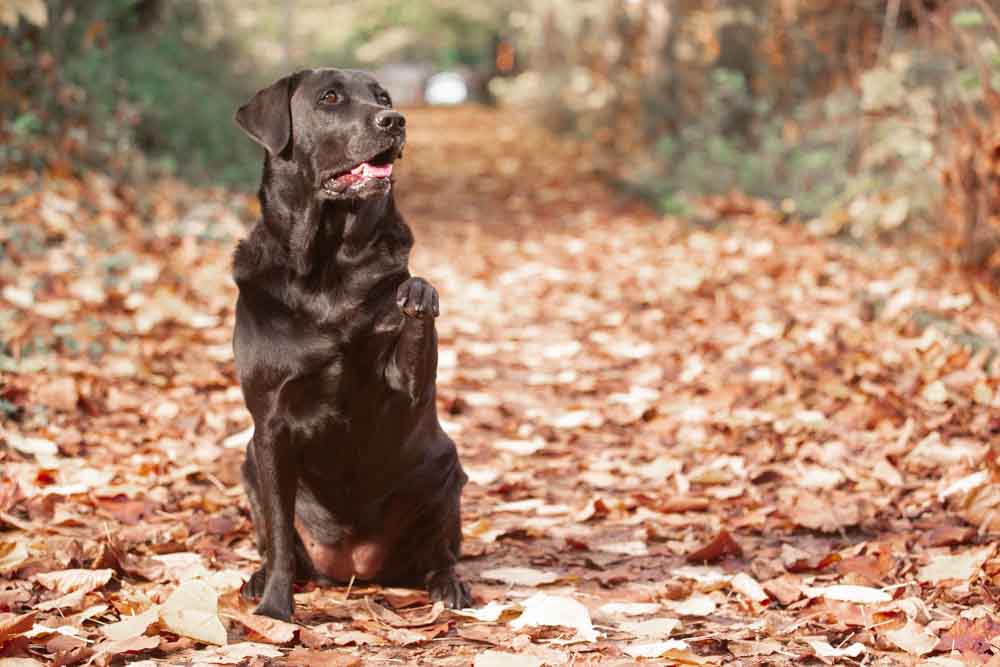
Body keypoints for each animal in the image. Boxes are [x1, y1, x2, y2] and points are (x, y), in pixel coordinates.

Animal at [232, 68, 470, 620]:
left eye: (382, 97)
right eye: (330, 98)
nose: (394, 120)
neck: (328, 267)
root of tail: (352, 569)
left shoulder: (405, 387)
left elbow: (411, 329)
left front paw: (418, 294)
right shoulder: (269, 426)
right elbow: (280, 535)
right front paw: (275, 609)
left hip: (442, 469)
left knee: (440, 552)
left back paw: (448, 585)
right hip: (249, 463)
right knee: (278, 543)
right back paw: (259, 579)